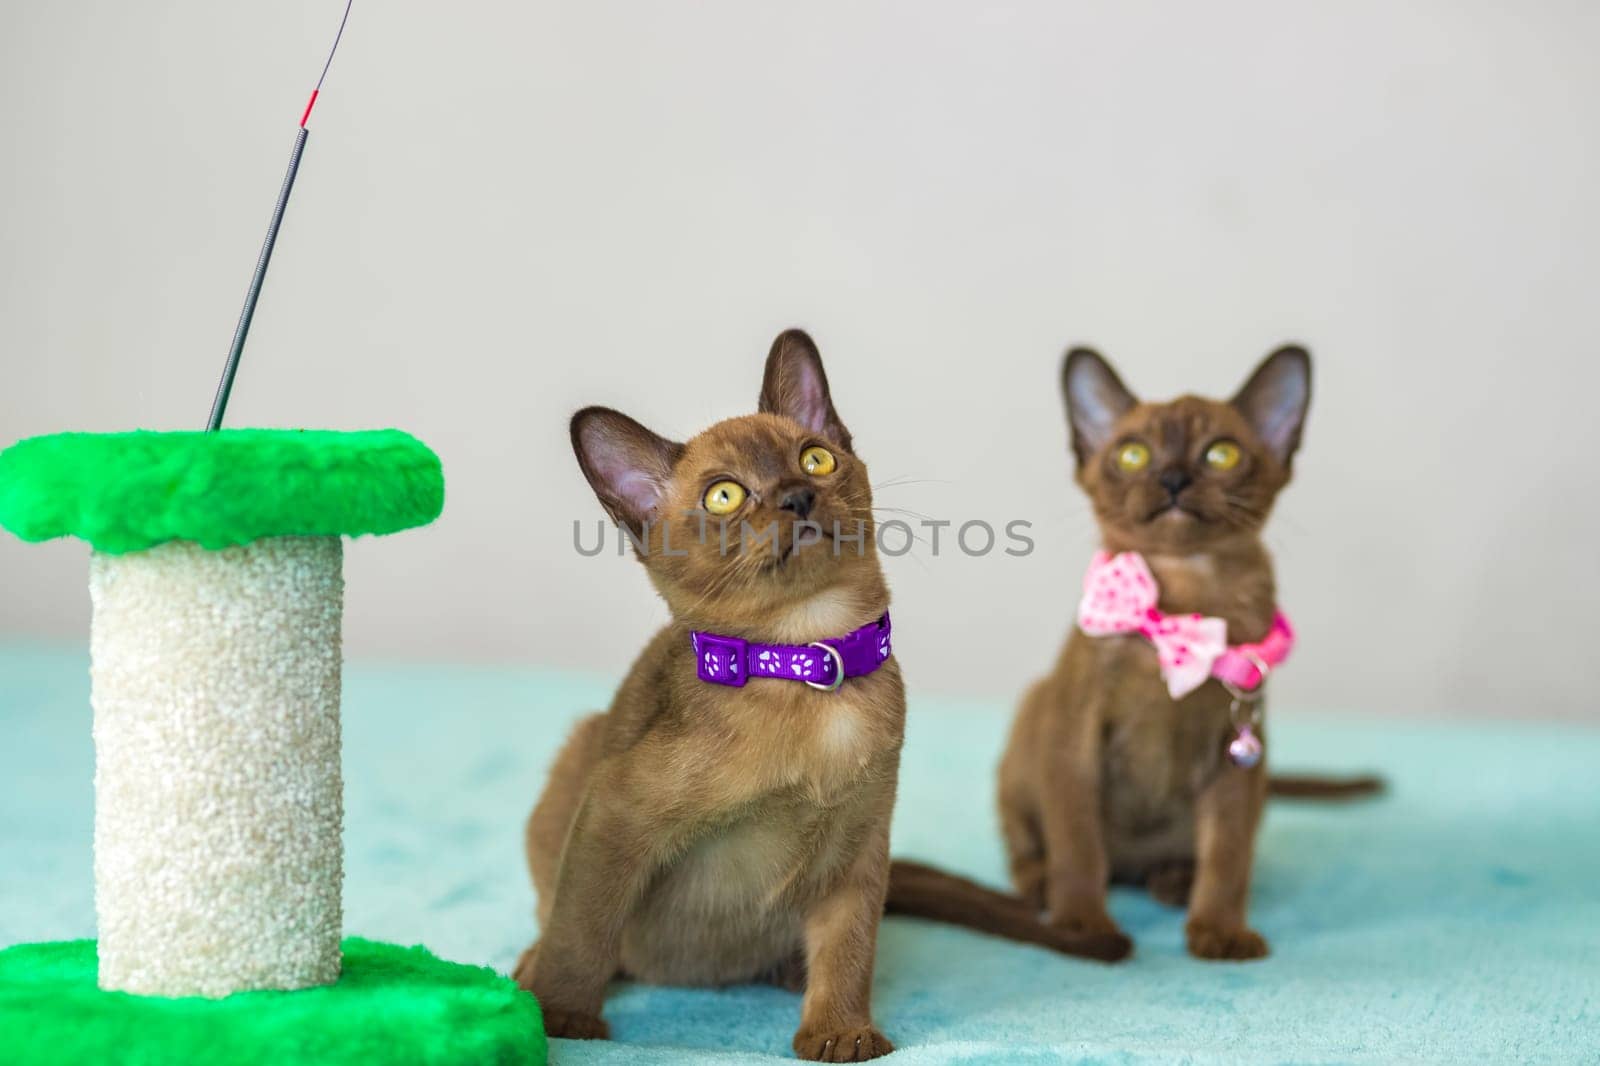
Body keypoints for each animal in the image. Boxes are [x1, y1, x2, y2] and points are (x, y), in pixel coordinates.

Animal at [518, 329, 908, 1056]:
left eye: (815, 460)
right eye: (725, 497)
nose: (797, 498)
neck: (810, 660)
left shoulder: (859, 848)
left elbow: (848, 952)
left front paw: (840, 1035)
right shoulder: (613, 813)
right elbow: (580, 934)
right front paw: (562, 1021)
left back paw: (789, 973)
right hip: (577, 756)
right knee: (563, 927)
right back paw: (530, 971)